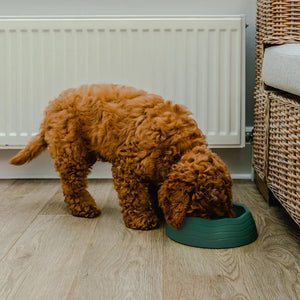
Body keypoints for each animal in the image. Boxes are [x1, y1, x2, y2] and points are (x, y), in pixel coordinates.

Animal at [9, 84, 236, 230]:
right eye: (205, 206)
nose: (220, 219)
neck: (179, 145)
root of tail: (51, 108)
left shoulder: (155, 168)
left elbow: (156, 190)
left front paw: (158, 209)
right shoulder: (128, 167)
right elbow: (135, 196)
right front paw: (142, 219)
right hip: (72, 150)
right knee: (73, 183)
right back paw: (84, 207)